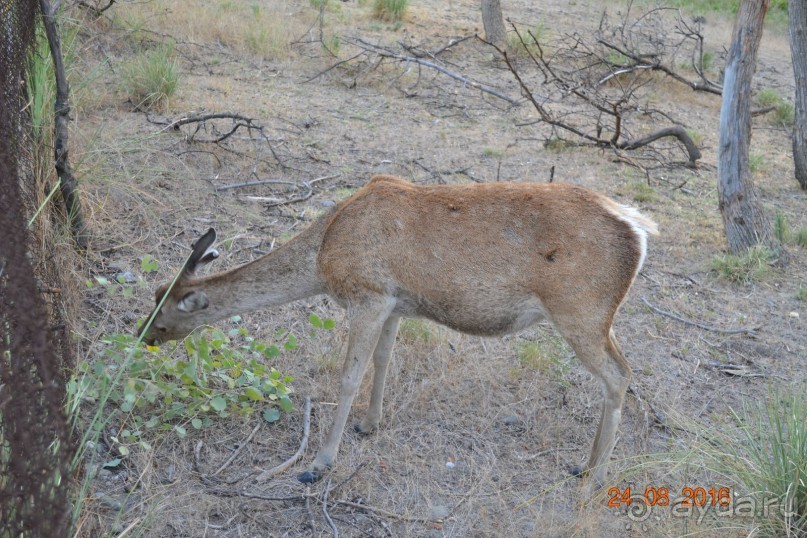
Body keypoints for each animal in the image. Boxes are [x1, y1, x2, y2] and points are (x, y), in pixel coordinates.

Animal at [140, 174, 656, 484]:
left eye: (162, 315)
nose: (142, 338)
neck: (324, 255)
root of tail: (638, 228)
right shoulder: (394, 303)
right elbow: (384, 360)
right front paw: (370, 425)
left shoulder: (368, 294)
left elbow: (349, 376)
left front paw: (320, 463)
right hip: (597, 318)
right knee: (621, 373)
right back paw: (587, 465)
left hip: (580, 311)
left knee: (620, 375)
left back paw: (594, 474)